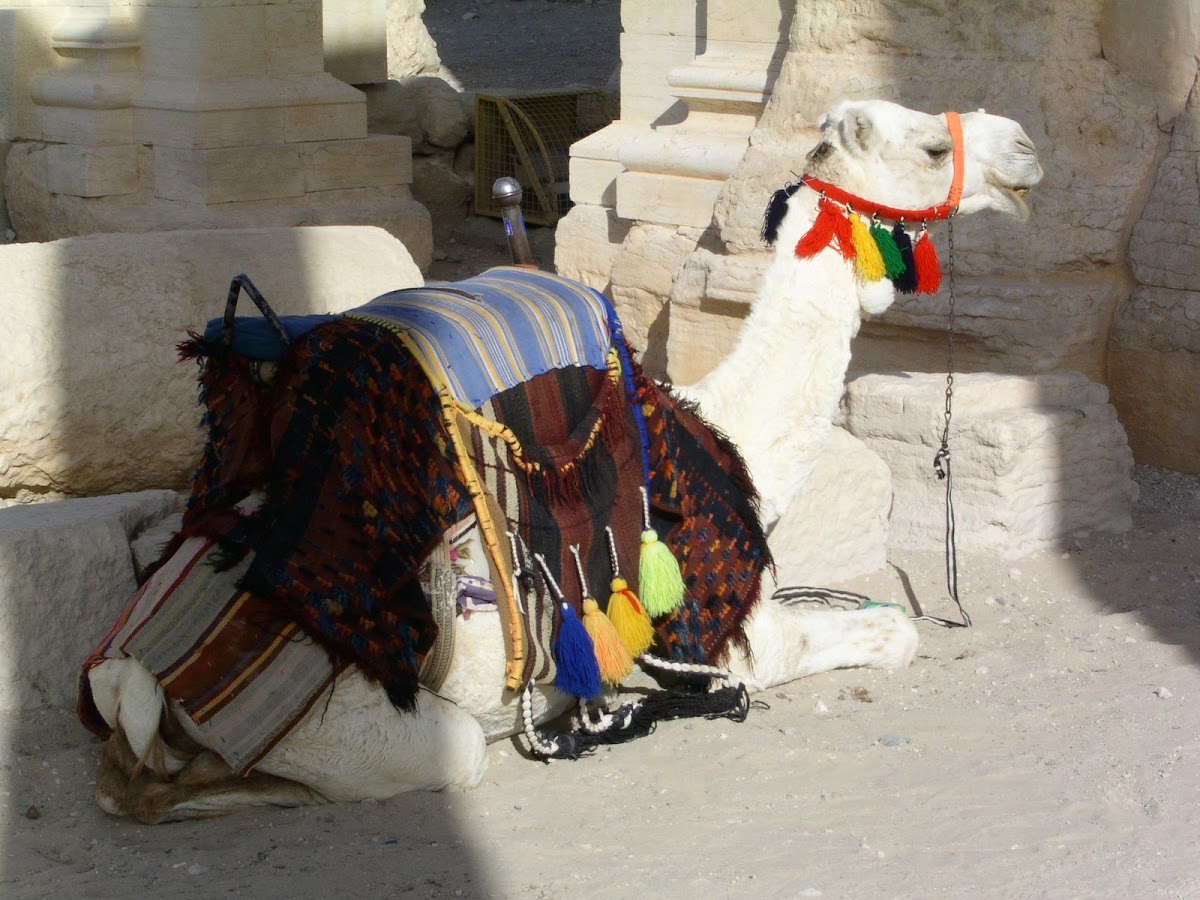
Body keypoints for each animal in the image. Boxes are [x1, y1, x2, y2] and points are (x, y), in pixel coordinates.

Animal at [84, 100, 1042, 822]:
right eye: (930, 145)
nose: (1025, 150)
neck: (727, 442)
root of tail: (125, 664)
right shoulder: (722, 640)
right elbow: (894, 634)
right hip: (344, 721)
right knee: (161, 788)